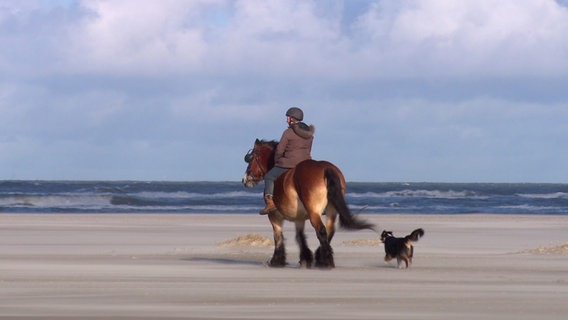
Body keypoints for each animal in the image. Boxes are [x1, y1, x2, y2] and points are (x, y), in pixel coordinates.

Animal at [242, 138, 374, 268]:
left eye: (251, 158)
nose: (244, 179)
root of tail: (325, 168)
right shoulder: (299, 218)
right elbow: (300, 236)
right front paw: (305, 258)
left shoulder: (274, 216)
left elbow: (278, 236)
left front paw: (277, 260)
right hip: (331, 211)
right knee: (329, 231)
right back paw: (321, 257)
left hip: (314, 212)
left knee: (321, 230)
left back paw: (325, 261)